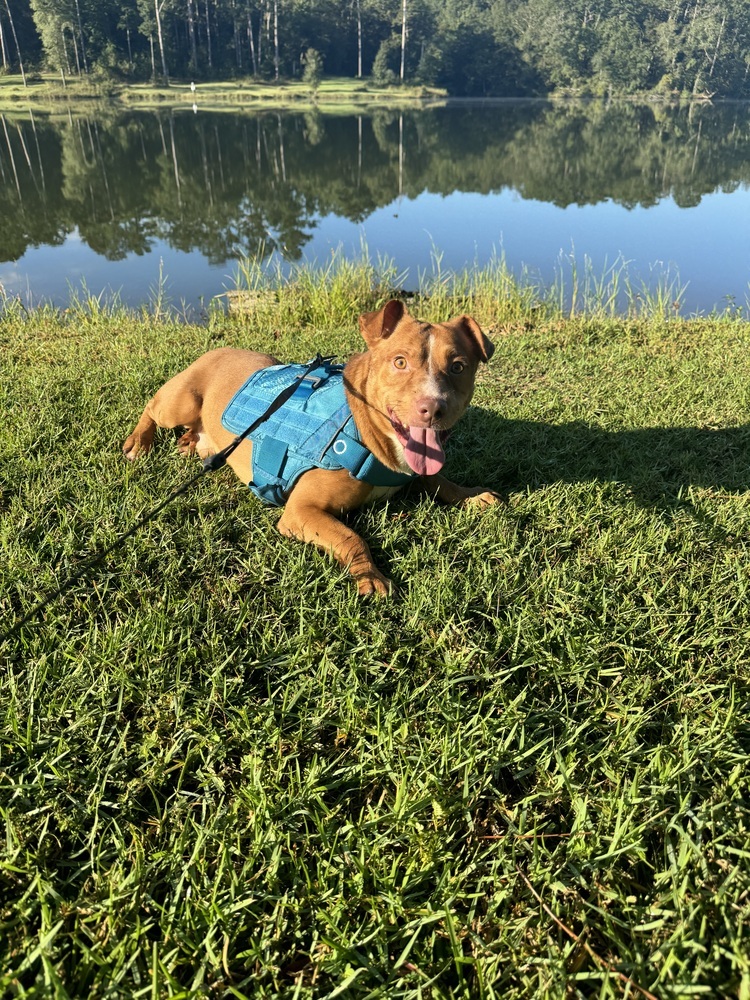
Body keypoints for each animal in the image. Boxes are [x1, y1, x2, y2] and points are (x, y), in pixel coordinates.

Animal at [122, 296, 500, 592]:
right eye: (400, 362)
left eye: (458, 367)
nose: (433, 407)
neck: (362, 425)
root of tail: (217, 348)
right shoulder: (302, 511)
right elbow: (351, 536)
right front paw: (371, 577)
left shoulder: (412, 471)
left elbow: (440, 480)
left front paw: (472, 494)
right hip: (180, 401)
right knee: (151, 408)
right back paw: (139, 442)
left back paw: (190, 442)